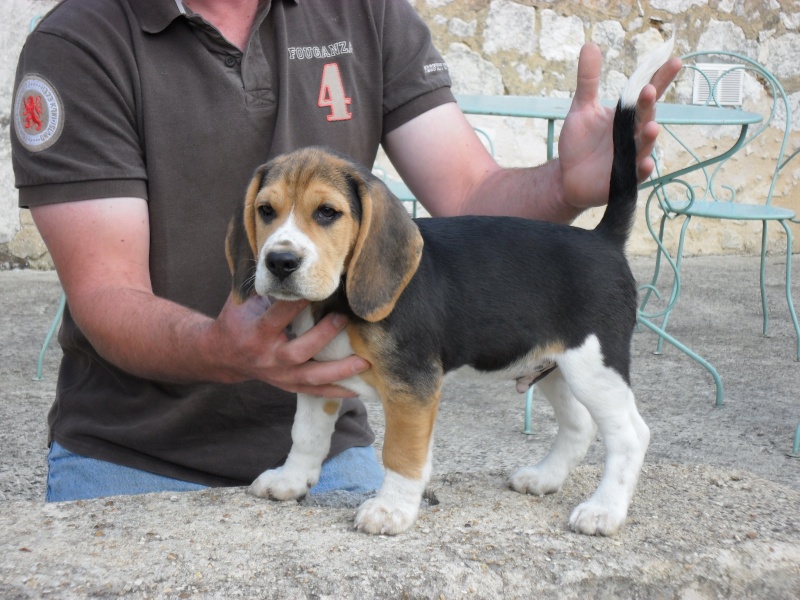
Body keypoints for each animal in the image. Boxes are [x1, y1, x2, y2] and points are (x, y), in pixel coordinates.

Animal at [228, 38, 680, 536]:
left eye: (327, 213)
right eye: (266, 211)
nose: (280, 261)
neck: (337, 301)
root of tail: (603, 237)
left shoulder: (412, 387)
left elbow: (401, 453)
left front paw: (391, 509)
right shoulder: (316, 378)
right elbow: (305, 435)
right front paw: (290, 481)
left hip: (593, 364)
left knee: (630, 435)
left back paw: (604, 510)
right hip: (554, 363)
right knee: (580, 426)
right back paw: (544, 477)